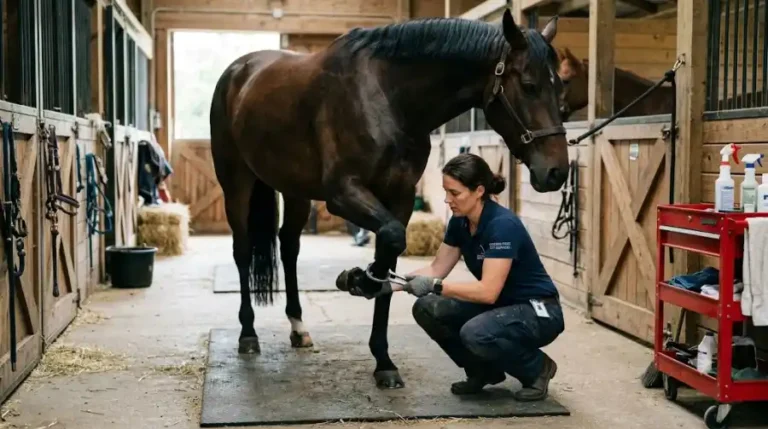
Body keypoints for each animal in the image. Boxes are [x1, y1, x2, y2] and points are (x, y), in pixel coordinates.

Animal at [208, 9, 570, 390]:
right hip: (237, 183)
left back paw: (298, 327)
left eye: (561, 86)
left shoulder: (400, 197)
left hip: (294, 191)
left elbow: (390, 248)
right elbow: (391, 237)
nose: (556, 172)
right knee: (242, 250)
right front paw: (361, 281)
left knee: (288, 246)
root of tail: (238, 72)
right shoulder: (343, 192)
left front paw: (383, 358)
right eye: (528, 85)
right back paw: (248, 334)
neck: (388, 96)